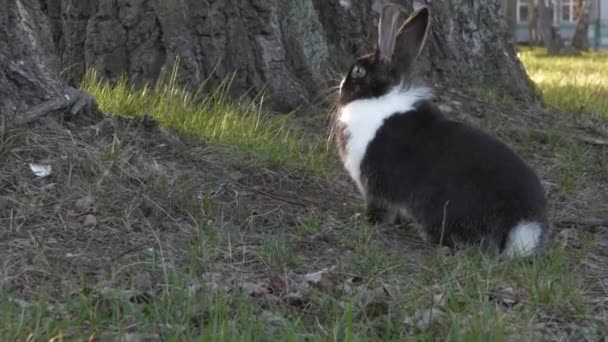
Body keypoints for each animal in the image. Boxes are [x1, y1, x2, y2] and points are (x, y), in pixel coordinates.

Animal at [334, 4, 548, 258]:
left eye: (358, 71)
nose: (341, 88)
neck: (380, 98)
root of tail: (522, 225)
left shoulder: (375, 185)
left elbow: (380, 209)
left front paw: (367, 221)